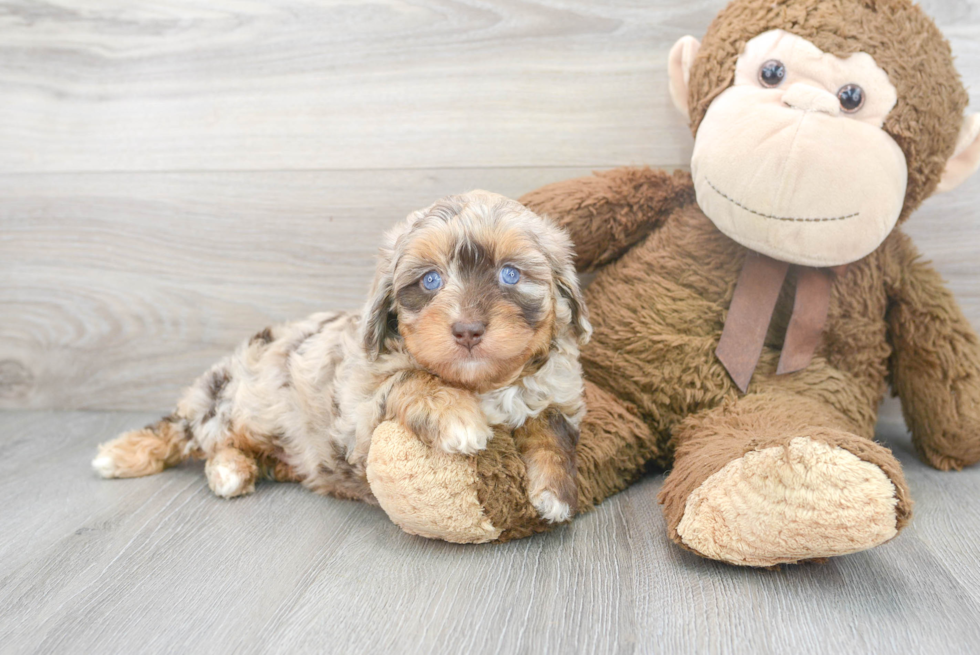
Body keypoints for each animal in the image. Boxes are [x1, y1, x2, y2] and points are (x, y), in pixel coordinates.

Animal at [94, 190, 588, 524]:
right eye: (430, 280)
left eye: (510, 274)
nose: (467, 330)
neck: (482, 382)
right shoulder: (362, 412)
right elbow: (412, 380)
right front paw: (458, 418)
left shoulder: (558, 393)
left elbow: (553, 430)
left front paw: (555, 493)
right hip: (224, 399)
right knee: (189, 432)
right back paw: (175, 462)